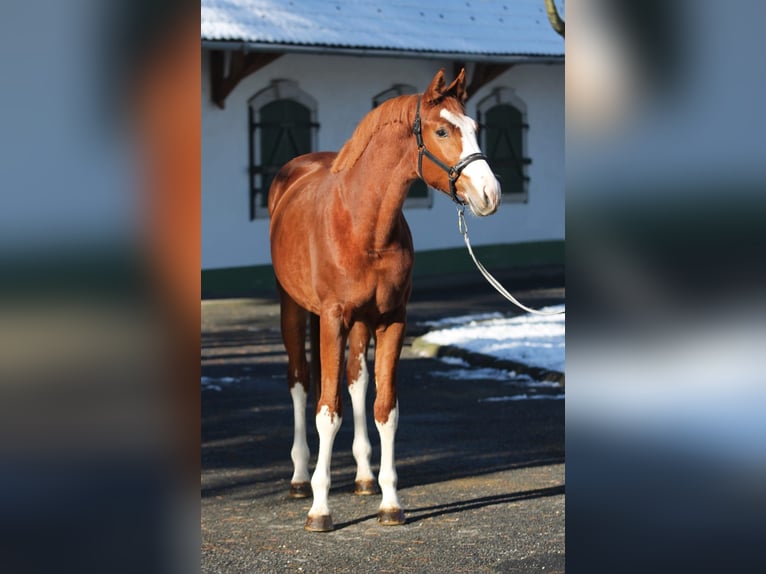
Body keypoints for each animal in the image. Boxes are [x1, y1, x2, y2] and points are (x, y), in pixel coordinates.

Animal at [270, 70, 504, 532]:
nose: (490, 193)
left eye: (474, 127)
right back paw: (301, 479)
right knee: (300, 382)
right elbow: (328, 411)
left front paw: (390, 502)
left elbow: (384, 408)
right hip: (295, 309)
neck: (362, 224)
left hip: (363, 324)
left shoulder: (393, 319)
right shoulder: (332, 319)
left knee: (356, 382)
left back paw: (363, 477)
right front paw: (320, 510)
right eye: (442, 131)